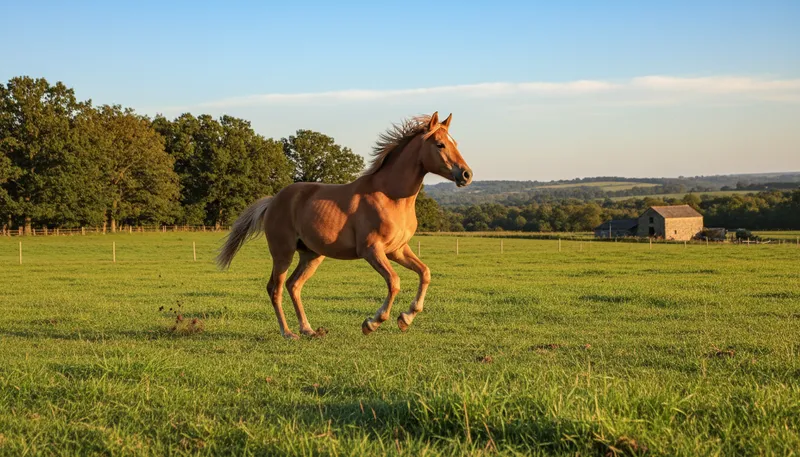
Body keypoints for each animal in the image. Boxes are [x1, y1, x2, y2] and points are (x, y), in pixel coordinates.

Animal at [216, 112, 473, 339]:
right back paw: (288, 333)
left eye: (455, 143)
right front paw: (372, 323)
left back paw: (308, 330)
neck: (391, 197)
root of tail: (273, 201)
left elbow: (425, 273)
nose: (466, 174)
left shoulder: (398, 250)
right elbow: (394, 282)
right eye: (440, 144)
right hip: (283, 253)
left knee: (293, 285)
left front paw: (406, 318)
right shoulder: (371, 250)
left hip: (311, 255)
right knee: (275, 288)